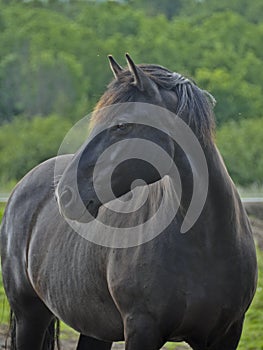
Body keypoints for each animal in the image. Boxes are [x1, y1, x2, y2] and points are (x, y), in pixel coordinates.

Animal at [0, 53, 258, 348]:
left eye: (122, 125)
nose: (64, 193)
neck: (207, 243)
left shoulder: (227, 334)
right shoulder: (142, 329)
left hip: (93, 329)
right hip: (29, 318)